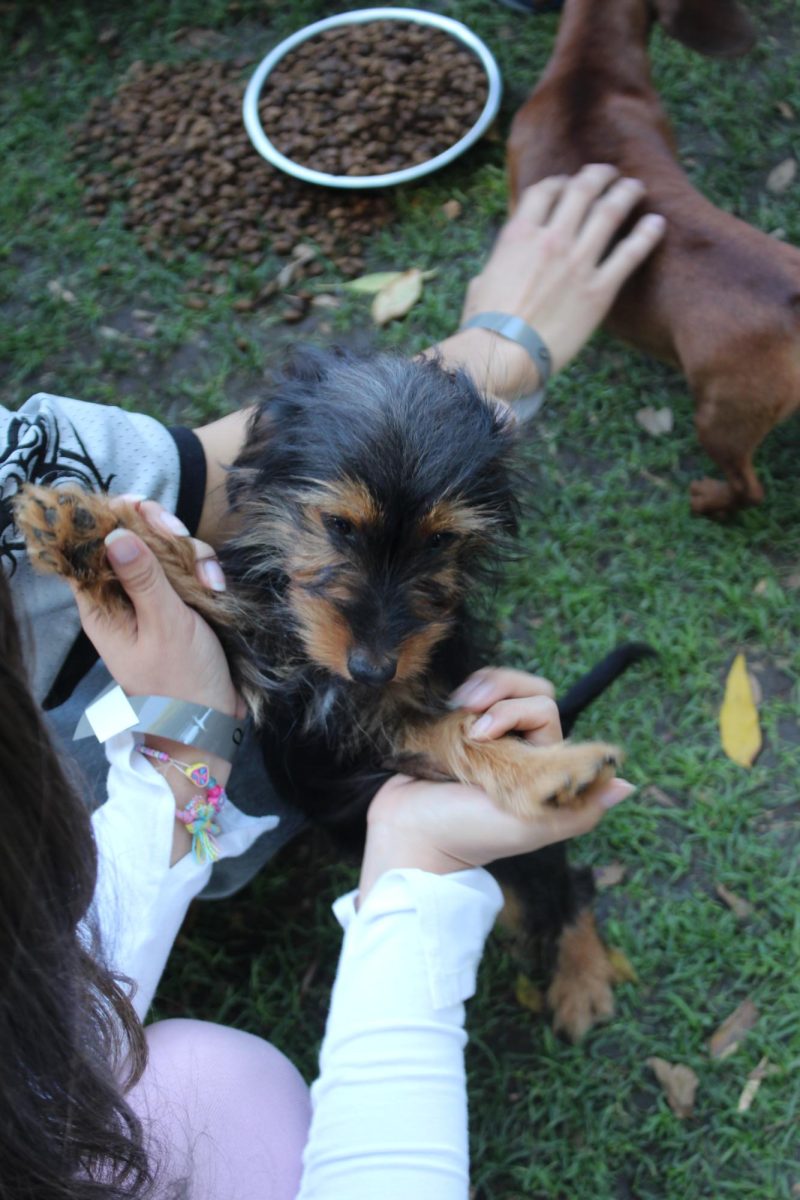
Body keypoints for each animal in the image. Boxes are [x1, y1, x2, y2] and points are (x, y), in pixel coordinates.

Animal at [15, 350, 647, 1041]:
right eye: (339, 526)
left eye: (440, 541)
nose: (373, 669)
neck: (328, 679)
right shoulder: (259, 648)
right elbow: (198, 583)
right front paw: (84, 527)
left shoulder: (387, 720)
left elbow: (454, 730)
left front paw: (549, 769)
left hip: (523, 870)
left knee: (564, 883)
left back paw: (582, 979)